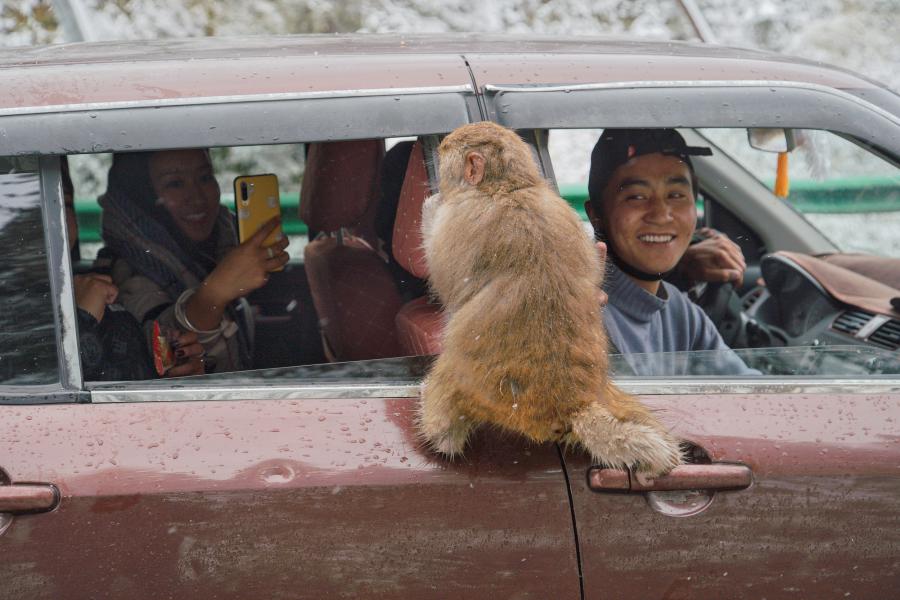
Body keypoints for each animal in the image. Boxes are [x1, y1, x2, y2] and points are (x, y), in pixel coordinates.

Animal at [420, 123, 684, 478]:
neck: (511, 187)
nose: (441, 148)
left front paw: (431, 205)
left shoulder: (464, 217)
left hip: (473, 390)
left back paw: (440, 434)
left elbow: (444, 277)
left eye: (449, 150)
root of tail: (573, 405)